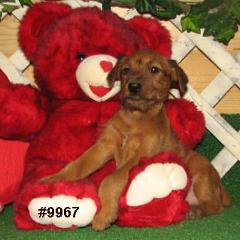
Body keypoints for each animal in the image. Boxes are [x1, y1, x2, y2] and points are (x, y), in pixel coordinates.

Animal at [42, 48, 232, 231]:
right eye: (125, 70)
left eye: (154, 69)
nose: (133, 86)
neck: (134, 118)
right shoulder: (103, 146)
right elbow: (77, 165)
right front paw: (53, 180)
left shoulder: (140, 155)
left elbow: (111, 179)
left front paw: (105, 214)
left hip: (200, 173)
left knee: (216, 206)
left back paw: (196, 211)